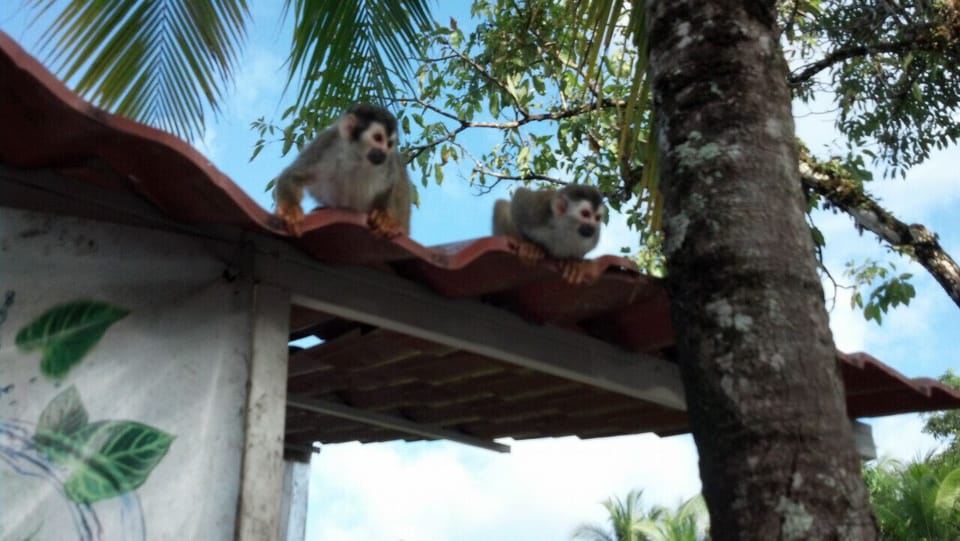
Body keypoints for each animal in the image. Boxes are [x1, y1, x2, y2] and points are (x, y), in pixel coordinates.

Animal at [273, 103, 412, 238]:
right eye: (378, 138)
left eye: (389, 144)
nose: (383, 153)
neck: (357, 157)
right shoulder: (326, 144)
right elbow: (292, 176)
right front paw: (290, 210)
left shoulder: (387, 163)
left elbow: (389, 187)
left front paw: (383, 217)